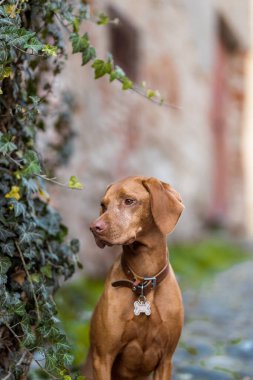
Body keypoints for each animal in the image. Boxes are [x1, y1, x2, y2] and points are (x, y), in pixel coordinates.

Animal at [84, 177, 185, 378]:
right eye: (103, 205)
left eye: (129, 201)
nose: (94, 228)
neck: (144, 281)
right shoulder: (102, 358)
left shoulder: (166, 360)